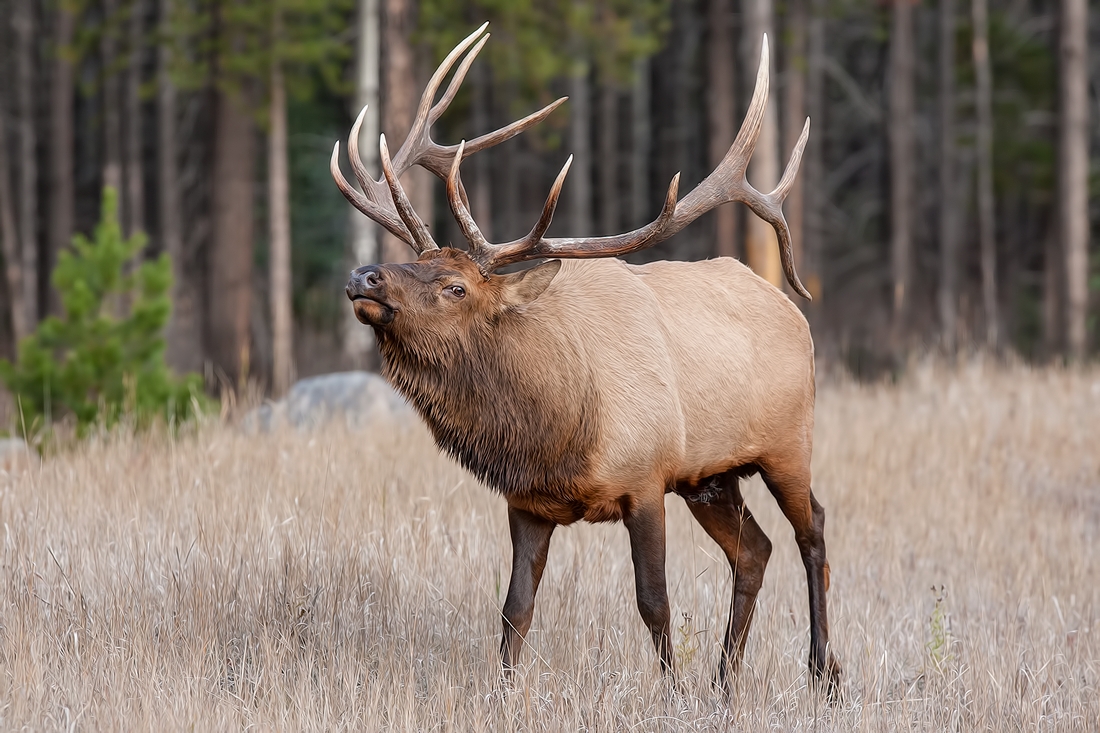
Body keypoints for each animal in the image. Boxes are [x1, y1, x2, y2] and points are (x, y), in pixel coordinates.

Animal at [330, 24, 836, 691]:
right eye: (417, 262)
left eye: (455, 287)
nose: (364, 275)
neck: (557, 427)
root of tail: (792, 310)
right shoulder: (526, 502)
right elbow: (515, 608)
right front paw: (503, 691)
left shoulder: (646, 479)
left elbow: (654, 601)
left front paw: (671, 691)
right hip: (711, 475)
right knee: (755, 551)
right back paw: (725, 683)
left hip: (787, 443)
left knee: (813, 533)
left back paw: (823, 674)